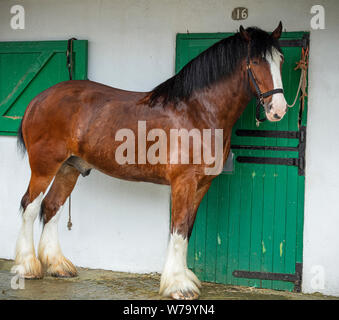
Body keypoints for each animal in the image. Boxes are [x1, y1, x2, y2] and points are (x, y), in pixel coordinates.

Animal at [14, 23, 288, 300]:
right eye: (255, 61)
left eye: (281, 60)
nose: (279, 109)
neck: (198, 112)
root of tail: (37, 100)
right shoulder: (184, 182)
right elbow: (178, 227)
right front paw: (178, 285)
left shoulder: (203, 184)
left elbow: (187, 228)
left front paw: (184, 278)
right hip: (44, 167)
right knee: (29, 206)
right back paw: (26, 267)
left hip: (69, 168)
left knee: (52, 206)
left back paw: (57, 265)